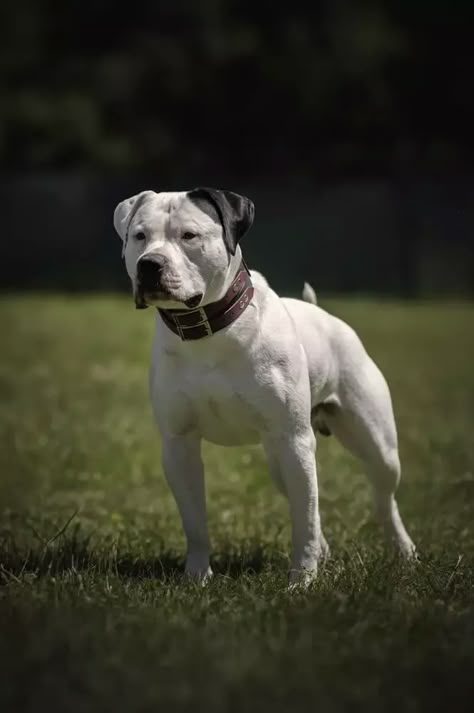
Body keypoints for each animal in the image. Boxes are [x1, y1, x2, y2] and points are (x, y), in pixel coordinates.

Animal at [112, 186, 414, 580]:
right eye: (140, 236)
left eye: (189, 235)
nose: (149, 264)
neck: (208, 328)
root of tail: (324, 315)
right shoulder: (179, 445)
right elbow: (195, 522)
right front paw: (197, 577)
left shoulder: (293, 439)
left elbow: (304, 519)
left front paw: (302, 580)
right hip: (278, 457)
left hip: (375, 446)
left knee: (381, 499)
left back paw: (404, 551)